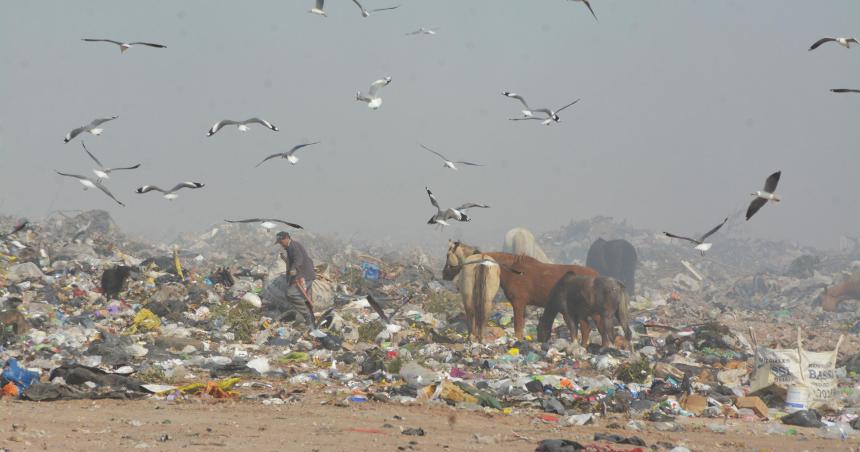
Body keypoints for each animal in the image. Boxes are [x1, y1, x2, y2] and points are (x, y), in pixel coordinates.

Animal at [444, 242, 596, 338]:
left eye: (447, 255)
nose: (444, 274)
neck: (512, 270)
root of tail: (595, 274)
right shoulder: (523, 305)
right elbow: (521, 326)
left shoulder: (518, 303)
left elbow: (517, 326)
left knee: (586, 329)